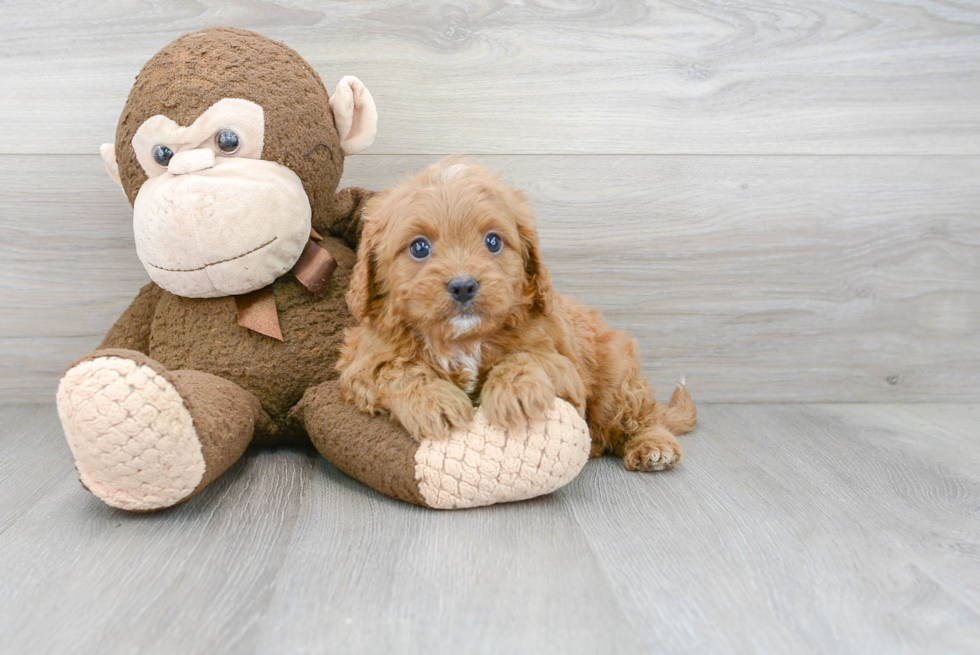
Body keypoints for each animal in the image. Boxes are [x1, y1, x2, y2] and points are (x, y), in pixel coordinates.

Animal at [336, 158, 696, 472]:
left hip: (615, 377)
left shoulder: (564, 365)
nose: (463, 286)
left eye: (493, 241)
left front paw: (516, 392)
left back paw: (653, 445)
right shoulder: (361, 362)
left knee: (635, 415)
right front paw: (433, 401)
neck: (464, 340)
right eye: (419, 247)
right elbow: (397, 370)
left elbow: (526, 356)